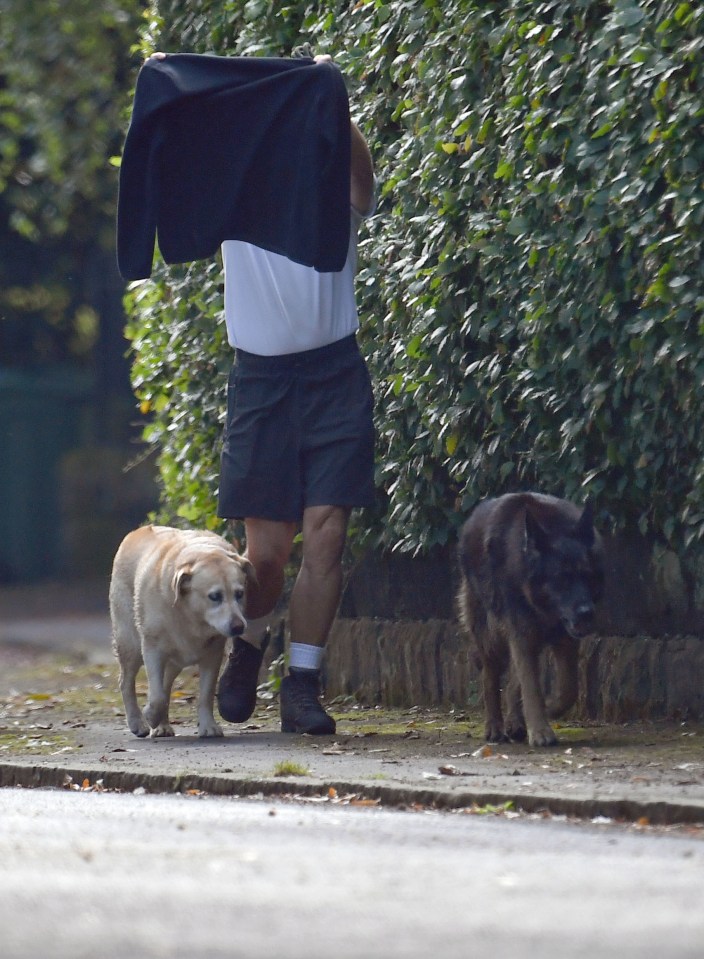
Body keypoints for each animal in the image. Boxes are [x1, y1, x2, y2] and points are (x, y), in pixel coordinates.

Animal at [108, 524, 254, 744]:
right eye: (214, 596)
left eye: (239, 594)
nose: (238, 627)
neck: (189, 616)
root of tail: (135, 532)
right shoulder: (152, 649)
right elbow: (157, 696)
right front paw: (150, 715)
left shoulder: (213, 654)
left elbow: (205, 694)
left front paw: (208, 726)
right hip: (130, 644)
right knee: (126, 681)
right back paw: (137, 722)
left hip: (174, 660)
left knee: (166, 685)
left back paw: (162, 726)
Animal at [460, 496, 604, 752]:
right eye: (561, 579)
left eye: (587, 575)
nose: (587, 613)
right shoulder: (521, 633)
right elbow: (530, 686)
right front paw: (540, 730)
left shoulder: (563, 639)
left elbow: (568, 687)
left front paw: (551, 708)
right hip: (490, 635)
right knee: (490, 676)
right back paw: (494, 726)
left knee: (512, 683)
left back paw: (515, 722)